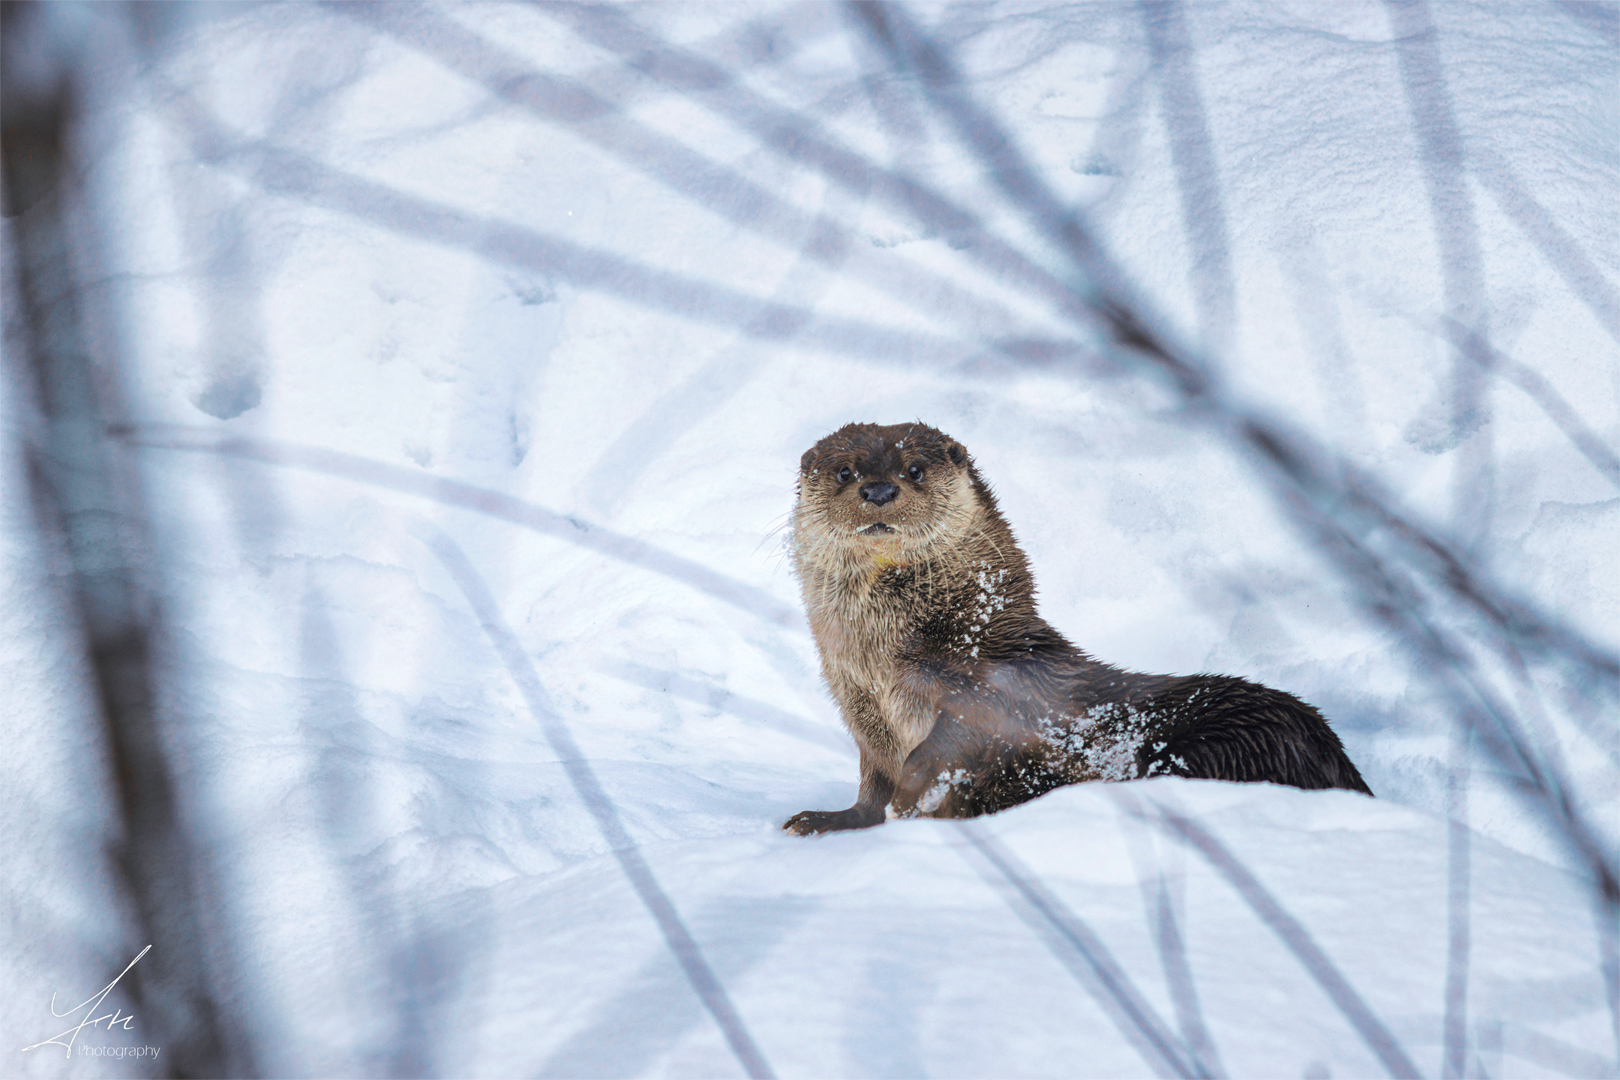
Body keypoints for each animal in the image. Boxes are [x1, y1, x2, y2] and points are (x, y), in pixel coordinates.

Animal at [784, 420, 1367, 835]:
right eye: (844, 471)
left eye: (915, 469)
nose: (879, 491)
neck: (888, 666)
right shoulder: (858, 707)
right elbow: (870, 780)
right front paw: (828, 819)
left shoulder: (997, 677)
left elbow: (956, 738)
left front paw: (910, 796)